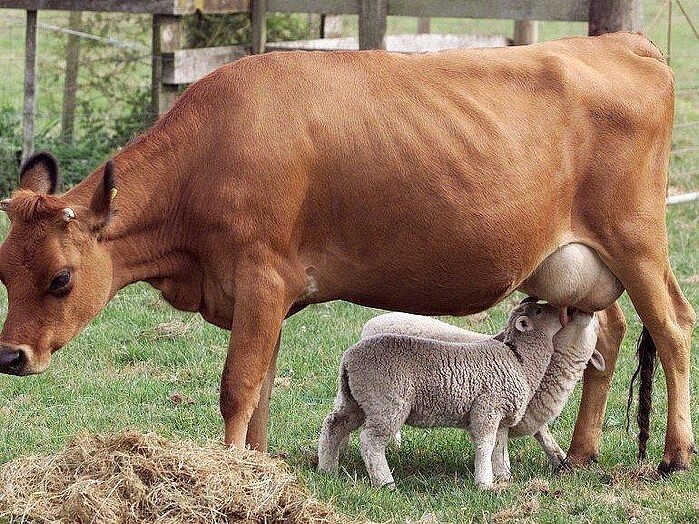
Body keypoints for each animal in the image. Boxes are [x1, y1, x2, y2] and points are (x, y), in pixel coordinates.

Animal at [317, 301, 562, 489]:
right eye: (539, 311)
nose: (562, 311)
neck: (519, 360)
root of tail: (348, 359)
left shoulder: (501, 416)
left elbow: (498, 447)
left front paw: (503, 477)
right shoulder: (486, 408)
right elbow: (485, 445)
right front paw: (484, 482)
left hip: (357, 400)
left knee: (334, 425)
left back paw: (327, 469)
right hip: (386, 402)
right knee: (370, 441)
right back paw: (385, 483)